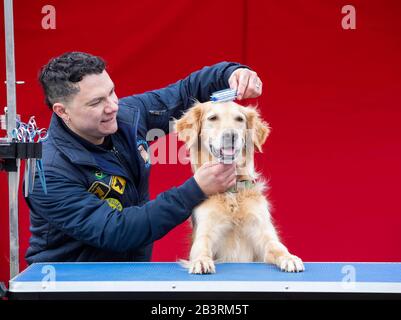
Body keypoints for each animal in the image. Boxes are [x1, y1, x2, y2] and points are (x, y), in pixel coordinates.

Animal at [175, 101, 304, 274]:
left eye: (239, 119)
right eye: (213, 118)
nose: (230, 135)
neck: (232, 192)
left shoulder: (262, 230)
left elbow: (277, 247)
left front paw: (289, 258)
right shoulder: (205, 231)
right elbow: (202, 248)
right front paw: (201, 261)